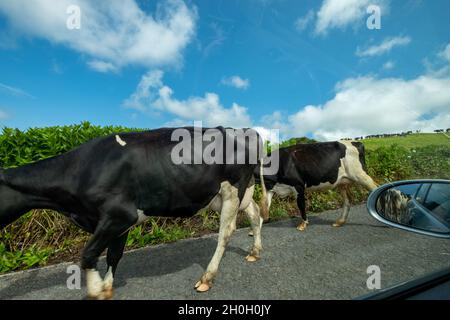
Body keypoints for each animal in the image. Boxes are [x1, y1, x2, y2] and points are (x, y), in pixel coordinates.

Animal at [0, 126, 266, 298]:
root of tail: (243, 130)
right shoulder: (117, 222)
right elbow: (113, 255)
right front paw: (107, 287)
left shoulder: (120, 214)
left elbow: (88, 254)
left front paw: (96, 290)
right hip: (238, 193)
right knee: (255, 214)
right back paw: (254, 252)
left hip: (232, 190)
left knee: (226, 232)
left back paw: (207, 278)